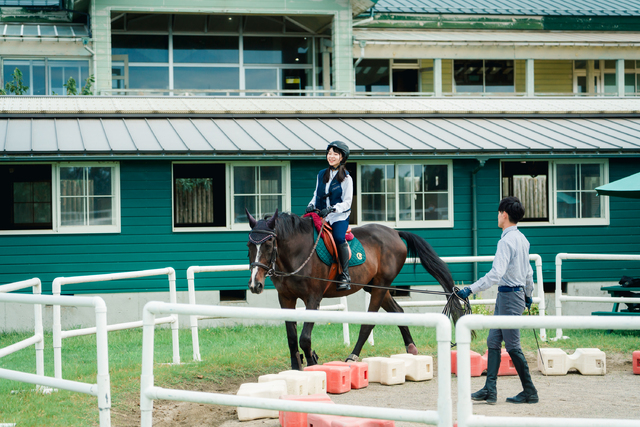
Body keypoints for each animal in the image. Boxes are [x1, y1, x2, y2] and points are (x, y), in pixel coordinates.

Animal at [246, 209, 464, 370]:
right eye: (249, 244)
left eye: (268, 243)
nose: (255, 285)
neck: (296, 253)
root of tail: (394, 232)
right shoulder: (285, 298)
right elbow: (291, 338)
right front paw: (296, 367)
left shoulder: (313, 298)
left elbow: (304, 338)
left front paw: (313, 362)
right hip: (376, 287)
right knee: (398, 312)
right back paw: (411, 349)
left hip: (380, 287)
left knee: (369, 323)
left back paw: (353, 356)